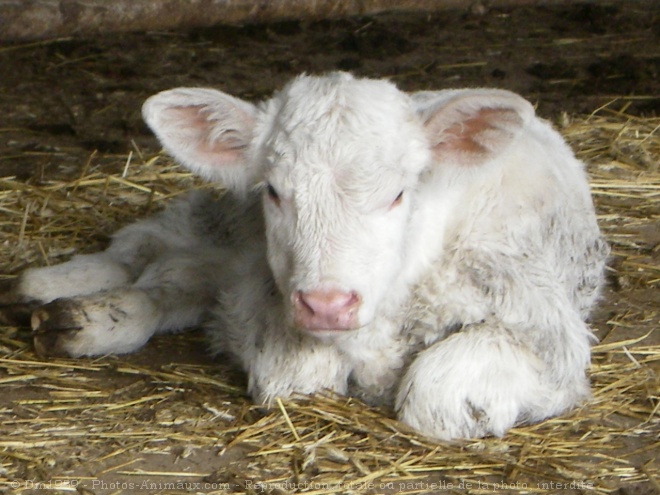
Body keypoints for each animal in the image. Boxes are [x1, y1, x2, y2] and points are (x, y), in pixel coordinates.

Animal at [0, 71, 608, 440]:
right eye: (274, 190)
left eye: (398, 194)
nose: (326, 304)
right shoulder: (266, 294)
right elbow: (296, 374)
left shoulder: (545, 329)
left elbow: (437, 393)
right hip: (228, 220)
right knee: (151, 246)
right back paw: (51, 286)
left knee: (178, 279)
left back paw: (79, 319)